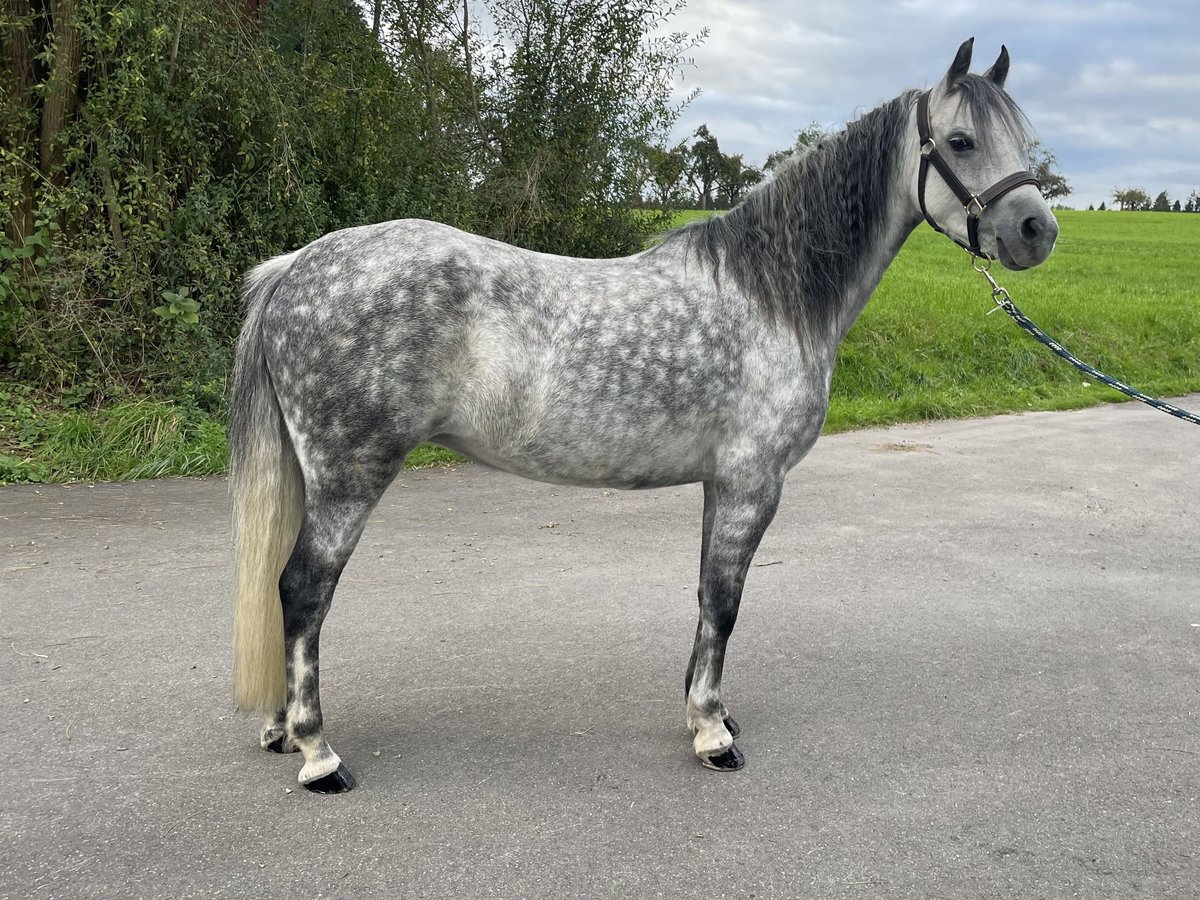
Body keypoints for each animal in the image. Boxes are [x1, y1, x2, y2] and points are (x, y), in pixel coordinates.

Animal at [229, 38, 1056, 792]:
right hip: (350, 475)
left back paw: (280, 729)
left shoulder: (723, 484)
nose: (1037, 231)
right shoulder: (753, 482)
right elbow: (724, 602)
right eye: (960, 140)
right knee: (302, 589)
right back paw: (318, 754)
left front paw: (709, 714)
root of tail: (297, 265)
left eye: (1024, 141)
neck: (772, 297)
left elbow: (707, 597)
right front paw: (713, 735)